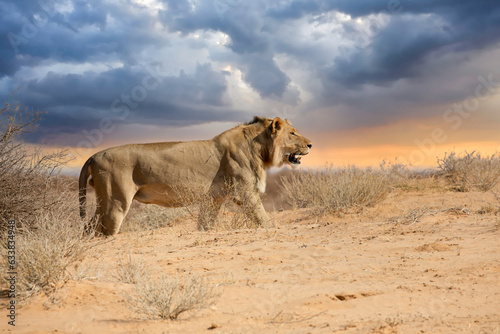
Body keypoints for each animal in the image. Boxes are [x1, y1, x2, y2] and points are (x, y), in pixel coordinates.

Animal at [78, 117, 310, 235]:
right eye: (293, 133)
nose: (310, 144)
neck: (260, 149)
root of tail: (93, 156)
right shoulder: (245, 193)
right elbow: (263, 218)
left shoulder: (213, 198)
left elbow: (205, 223)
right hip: (115, 202)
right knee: (101, 230)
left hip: (105, 201)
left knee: (89, 227)